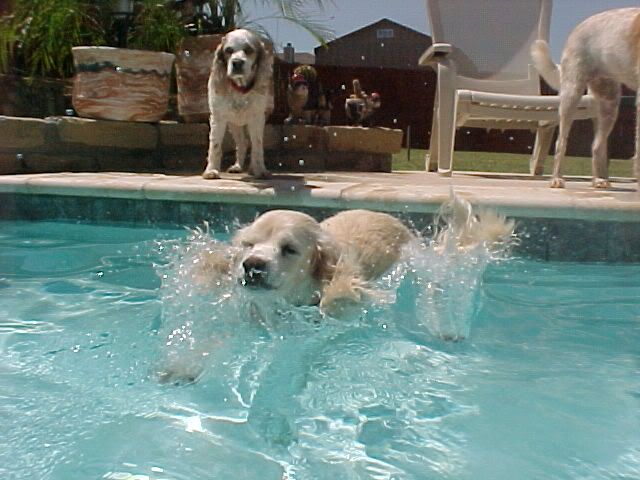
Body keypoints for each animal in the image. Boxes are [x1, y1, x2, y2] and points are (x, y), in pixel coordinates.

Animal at [532, 7, 640, 188]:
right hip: (571, 95)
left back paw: (599, 180)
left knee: (596, 146)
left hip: (609, 103)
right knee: (561, 143)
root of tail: (579, 26)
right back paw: (556, 178)